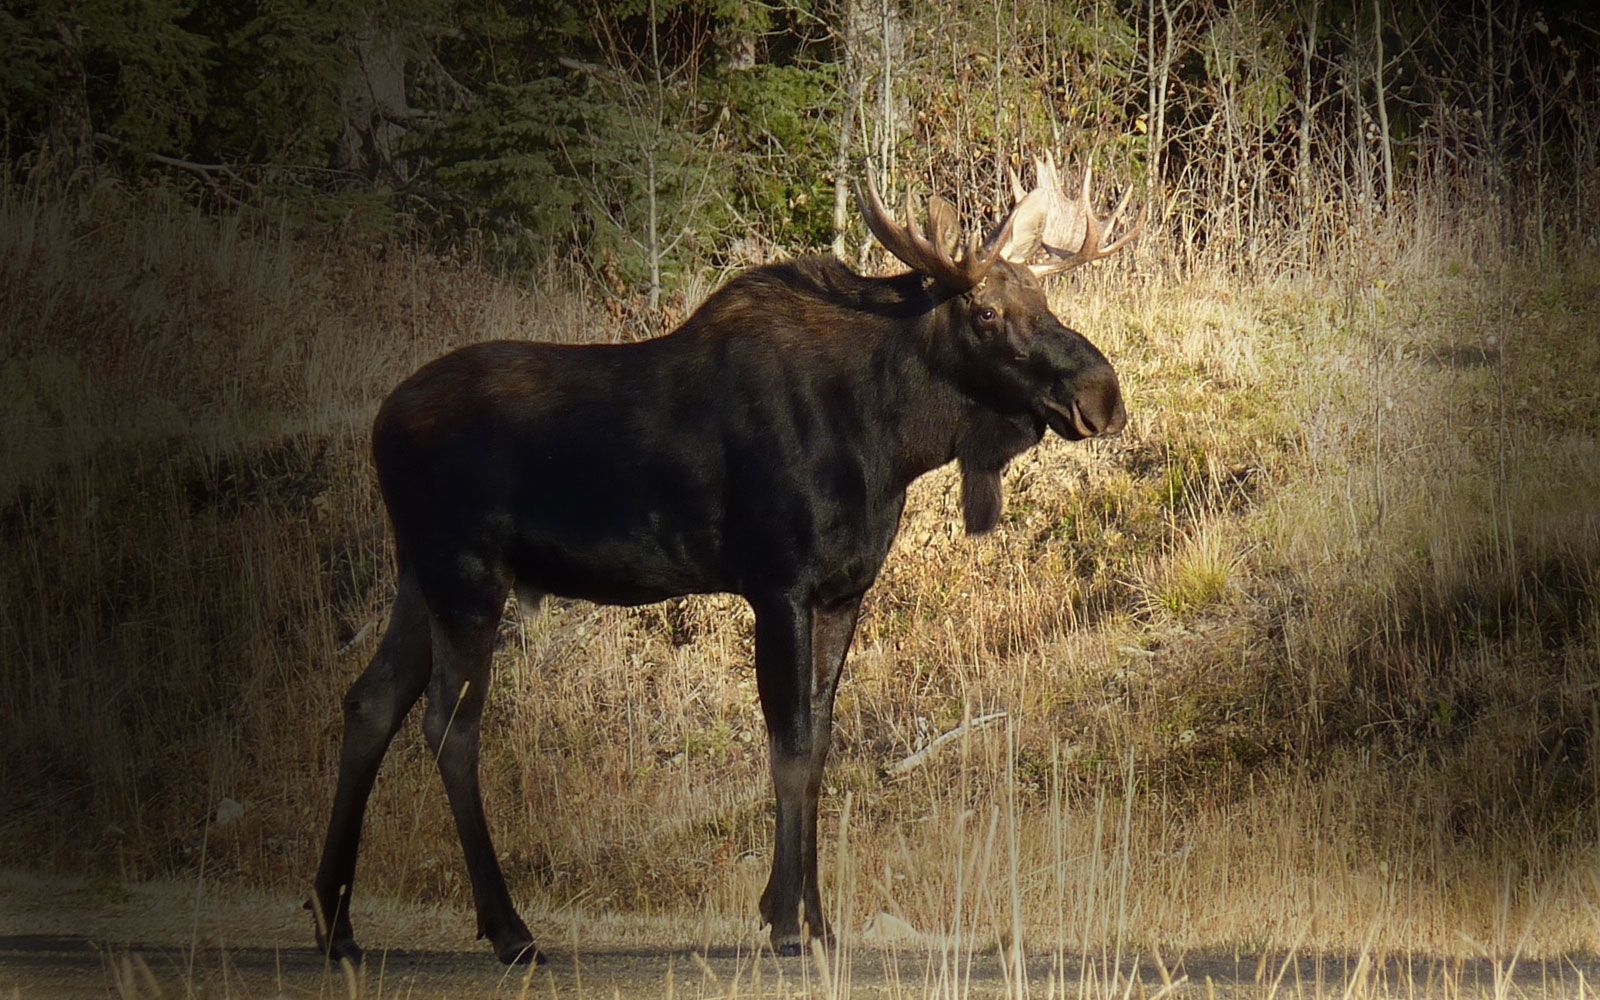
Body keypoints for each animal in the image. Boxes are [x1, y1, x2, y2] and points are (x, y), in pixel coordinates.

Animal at [308, 160, 1139, 966]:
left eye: (1042, 295)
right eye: (986, 313)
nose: (1103, 395)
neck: (891, 439)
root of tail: (380, 423)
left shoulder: (842, 591)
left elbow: (821, 742)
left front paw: (816, 921)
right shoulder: (777, 584)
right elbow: (790, 746)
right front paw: (785, 923)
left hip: (418, 575)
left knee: (370, 701)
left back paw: (336, 922)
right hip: (467, 572)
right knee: (450, 724)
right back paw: (508, 930)